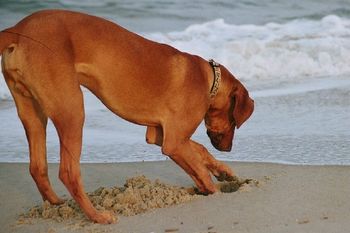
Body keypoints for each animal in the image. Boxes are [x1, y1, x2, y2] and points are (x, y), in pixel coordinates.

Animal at [0, 9, 252, 224]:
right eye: (234, 121)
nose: (229, 149)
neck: (208, 79)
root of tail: (18, 28)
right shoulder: (173, 142)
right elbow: (199, 168)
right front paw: (214, 189)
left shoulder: (162, 136)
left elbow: (200, 150)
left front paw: (224, 172)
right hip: (72, 110)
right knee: (68, 172)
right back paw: (97, 216)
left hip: (33, 114)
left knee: (37, 168)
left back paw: (57, 205)